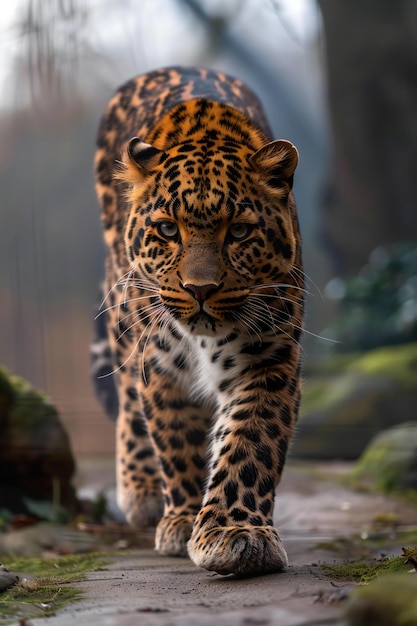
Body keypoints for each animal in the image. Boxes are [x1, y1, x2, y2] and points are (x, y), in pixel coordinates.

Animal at [93, 64, 302, 576]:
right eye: (168, 229)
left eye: (240, 231)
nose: (200, 289)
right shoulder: (161, 364)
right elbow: (176, 439)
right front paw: (184, 519)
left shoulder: (268, 359)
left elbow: (250, 442)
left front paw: (236, 532)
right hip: (124, 318)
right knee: (127, 396)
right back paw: (143, 492)